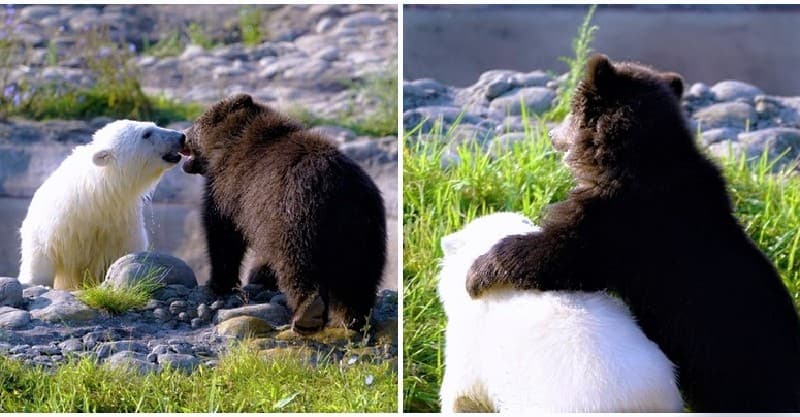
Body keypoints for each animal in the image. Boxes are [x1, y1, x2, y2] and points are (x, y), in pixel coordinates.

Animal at [19, 120, 186, 290]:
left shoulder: (123, 226)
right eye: (146, 134)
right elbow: (40, 260)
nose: (181, 136)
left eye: (155, 125)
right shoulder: (55, 227)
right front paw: (38, 284)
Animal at [180, 94, 386, 333]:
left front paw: (218, 282)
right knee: (359, 277)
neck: (225, 146)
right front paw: (258, 276)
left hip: (298, 217)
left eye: (195, 123)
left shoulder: (229, 189)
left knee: (299, 265)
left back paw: (307, 315)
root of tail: (343, 193)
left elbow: (222, 234)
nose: (182, 135)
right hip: (365, 230)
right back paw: (353, 319)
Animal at [466, 54, 800, 411]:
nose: (552, 135)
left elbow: (561, 254)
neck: (634, 159)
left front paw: (478, 271)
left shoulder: (618, 222)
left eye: (571, 111)